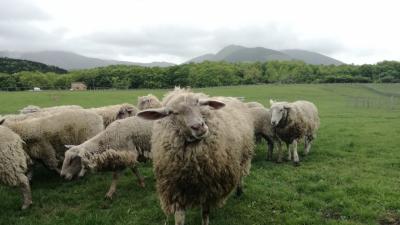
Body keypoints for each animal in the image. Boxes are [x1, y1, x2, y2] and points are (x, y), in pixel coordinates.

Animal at [139, 88, 255, 225]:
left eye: (197, 103)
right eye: (172, 112)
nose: (198, 126)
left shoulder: (208, 188)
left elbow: (205, 214)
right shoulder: (176, 190)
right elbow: (179, 218)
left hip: (245, 156)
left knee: (241, 175)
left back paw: (239, 191)